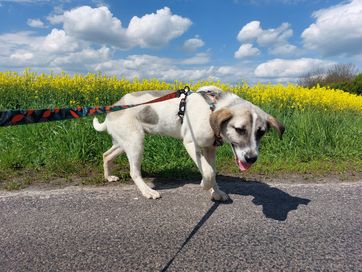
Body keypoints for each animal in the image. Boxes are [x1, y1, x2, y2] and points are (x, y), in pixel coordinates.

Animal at [92, 86, 284, 201]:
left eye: (261, 132)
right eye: (239, 129)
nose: (251, 158)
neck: (212, 109)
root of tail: (112, 108)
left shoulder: (210, 149)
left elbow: (213, 172)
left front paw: (216, 192)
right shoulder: (191, 144)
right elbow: (208, 172)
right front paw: (204, 185)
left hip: (123, 142)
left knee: (106, 155)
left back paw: (108, 176)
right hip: (135, 142)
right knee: (133, 171)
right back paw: (147, 191)